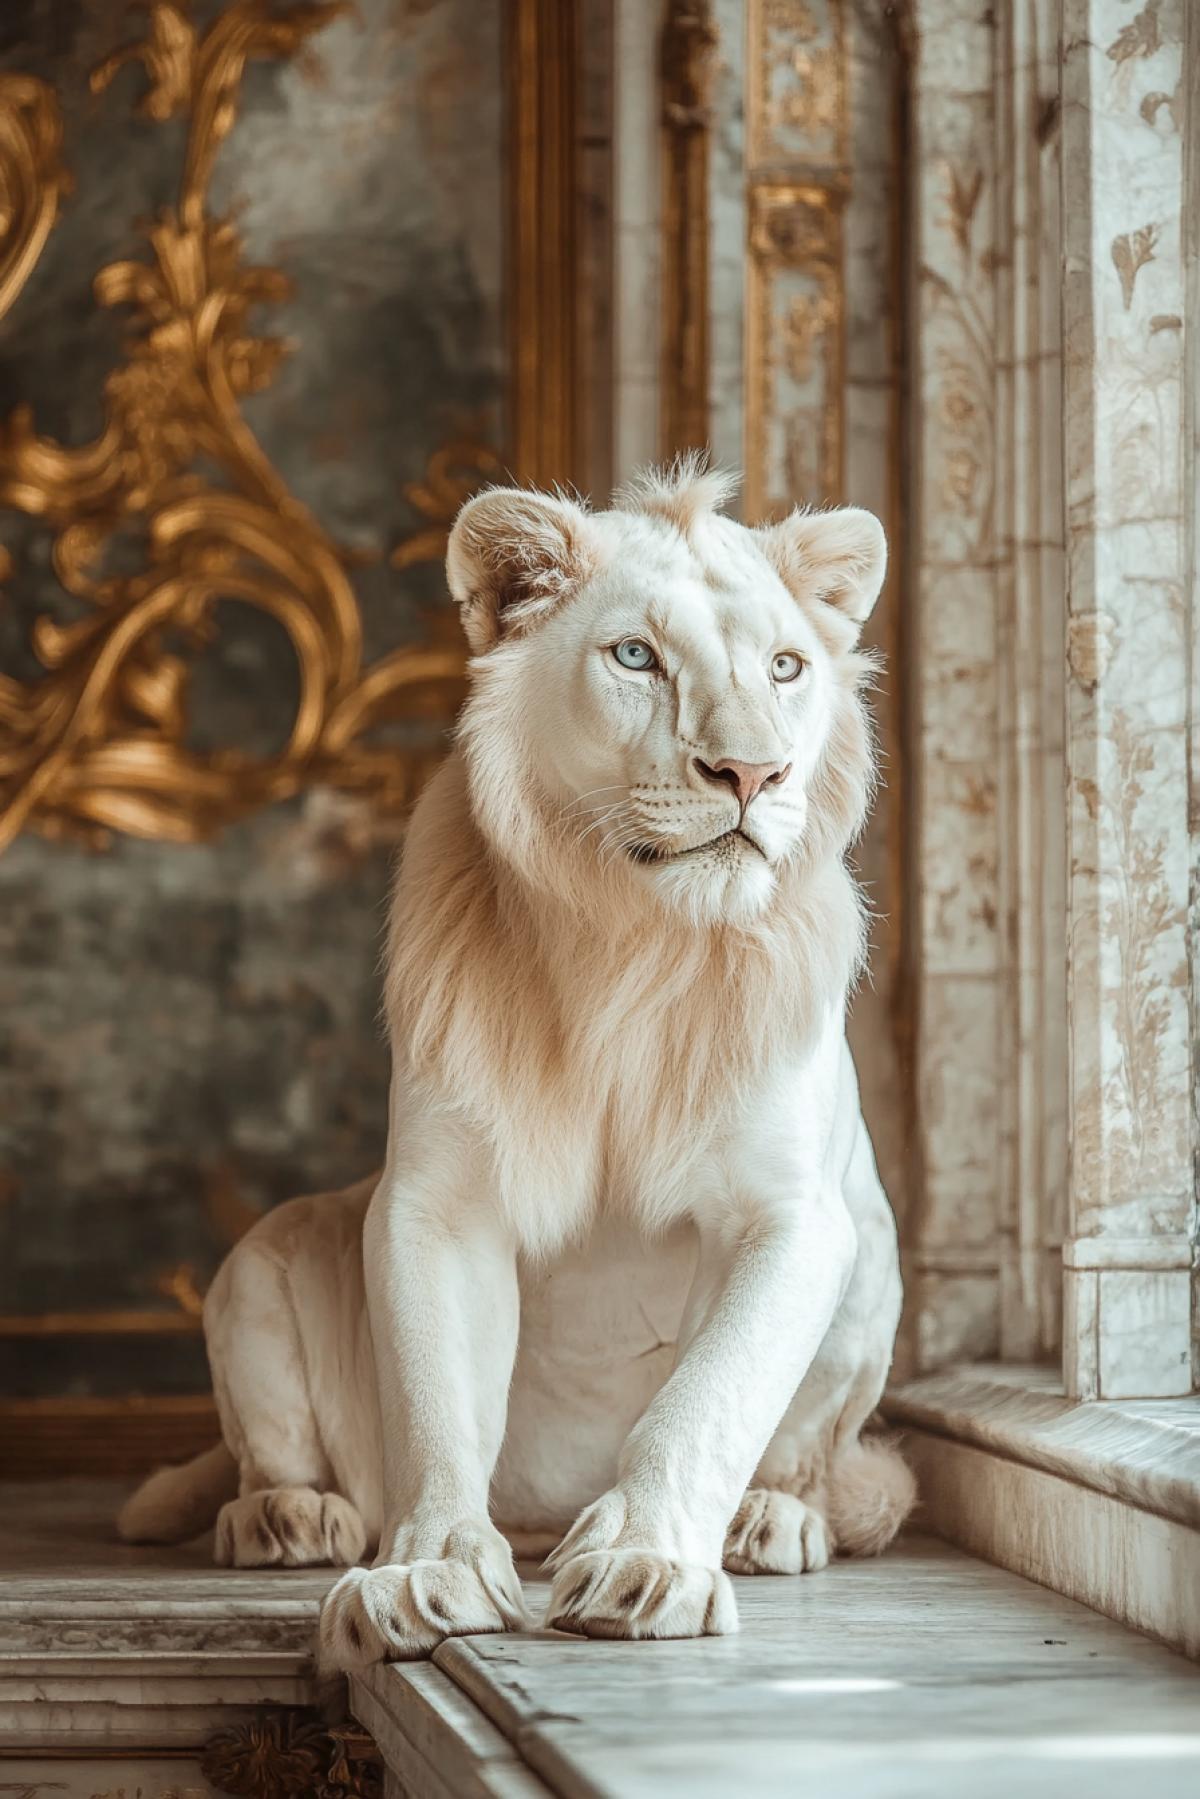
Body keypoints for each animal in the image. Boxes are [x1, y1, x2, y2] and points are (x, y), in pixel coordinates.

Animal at [118, 458, 915, 1668]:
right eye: (635, 656)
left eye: (787, 667)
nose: (755, 771)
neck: (633, 940)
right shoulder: (435, 1200)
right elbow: (438, 1403)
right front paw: (424, 1573)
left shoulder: (791, 1212)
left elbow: (709, 1395)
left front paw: (644, 1562)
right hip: (261, 1253)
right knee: (272, 1444)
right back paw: (288, 1516)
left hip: (871, 1248)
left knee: (804, 1443)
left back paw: (769, 1519)